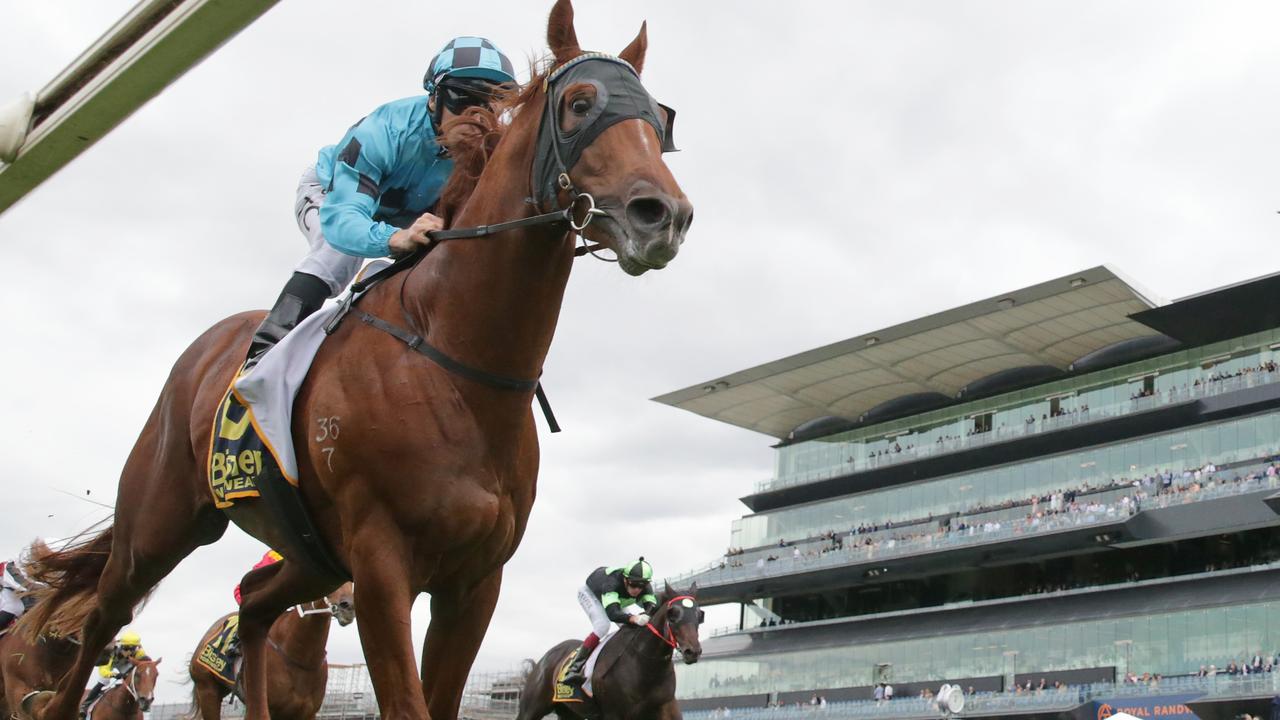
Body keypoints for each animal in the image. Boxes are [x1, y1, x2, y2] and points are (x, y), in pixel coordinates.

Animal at [514, 584, 706, 717]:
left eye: (700, 615)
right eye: (672, 614)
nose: (692, 651)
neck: (645, 667)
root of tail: (542, 661)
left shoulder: (666, 706)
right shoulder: (614, 713)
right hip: (530, 709)